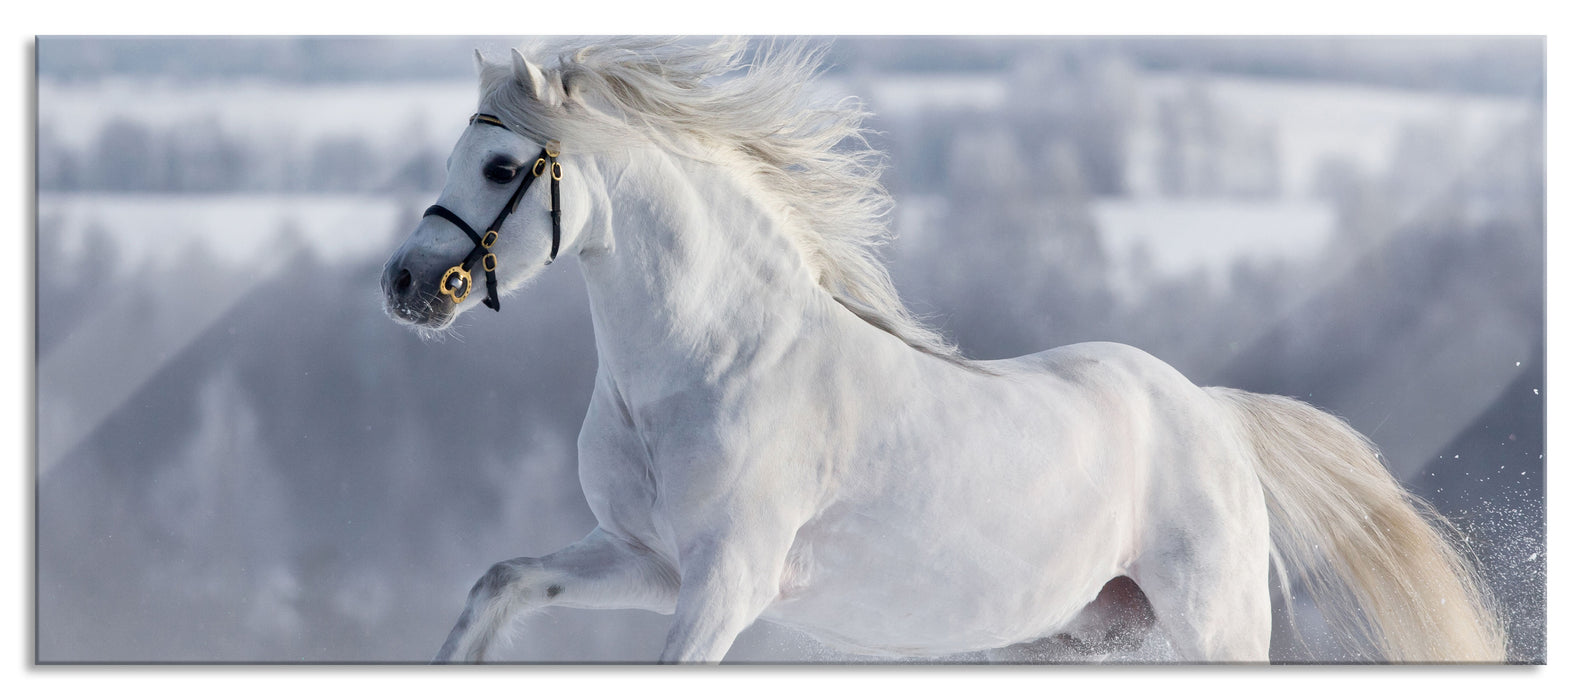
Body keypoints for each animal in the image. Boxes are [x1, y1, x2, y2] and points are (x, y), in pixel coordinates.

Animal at [379, 36, 1506, 661]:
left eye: (498, 165)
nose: (405, 285)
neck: (710, 370)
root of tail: (1213, 414)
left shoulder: (729, 580)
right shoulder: (645, 559)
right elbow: (499, 584)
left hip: (1215, 627)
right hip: (1061, 640)